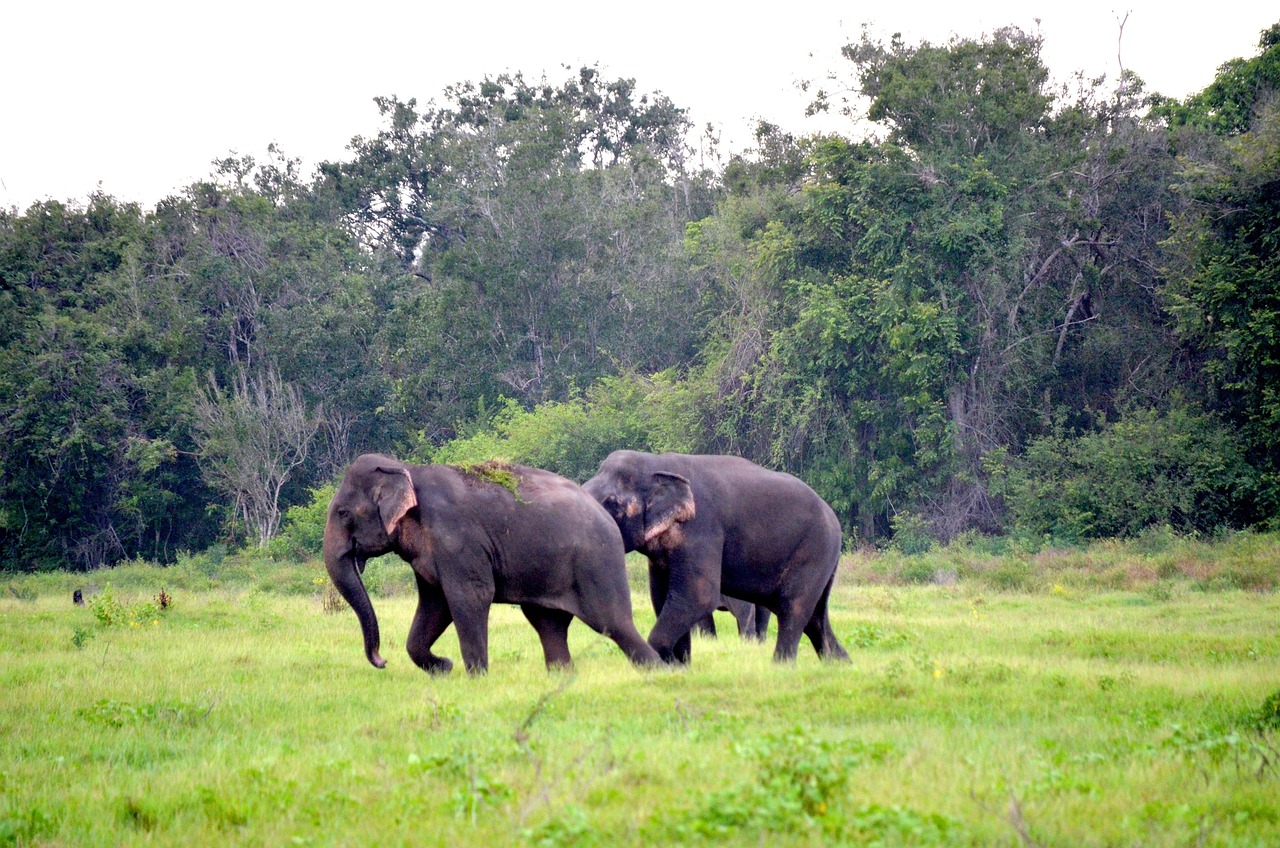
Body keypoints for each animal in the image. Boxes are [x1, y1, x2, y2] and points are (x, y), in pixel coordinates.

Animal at [323, 453, 660, 674]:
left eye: (342, 512)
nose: (382, 661)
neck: (406, 469)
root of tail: (608, 519)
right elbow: (435, 603)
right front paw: (444, 667)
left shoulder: (457, 538)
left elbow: (470, 596)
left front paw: (476, 677)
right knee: (548, 624)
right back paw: (562, 676)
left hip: (596, 564)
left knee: (612, 623)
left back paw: (658, 670)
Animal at [582, 450, 849, 665]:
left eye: (612, 502)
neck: (657, 463)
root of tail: (834, 519)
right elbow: (662, 597)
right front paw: (681, 667)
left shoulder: (701, 529)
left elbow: (697, 596)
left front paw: (669, 663)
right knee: (816, 618)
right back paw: (841, 666)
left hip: (814, 550)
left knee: (793, 608)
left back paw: (780, 667)